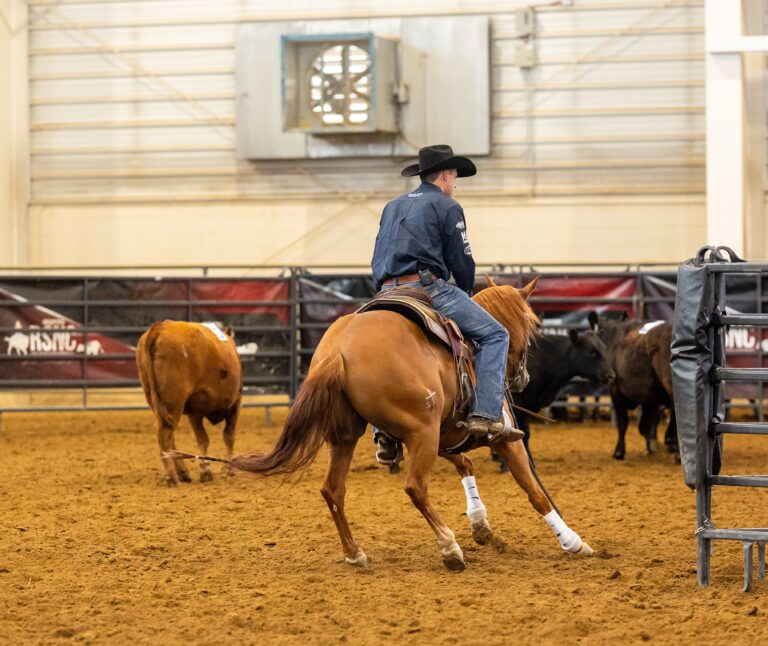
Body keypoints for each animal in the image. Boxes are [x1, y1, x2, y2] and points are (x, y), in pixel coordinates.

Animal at [136, 321, 242, 486]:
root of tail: (158, 328)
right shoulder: (234, 404)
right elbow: (229, 437)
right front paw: (228, 470)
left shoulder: (194, 411)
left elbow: (203, 439)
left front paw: (206, 470)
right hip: (174, 399)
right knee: (165, 434)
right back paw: (172, 477)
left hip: (158, 401)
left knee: (169, 434)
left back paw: (182, 473)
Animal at [588, 312, 678, 461]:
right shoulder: (649, 398)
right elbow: (645, 426)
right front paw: (651, 448)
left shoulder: (615, 390)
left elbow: (623, 423)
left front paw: (619, 452)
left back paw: (671, 442)